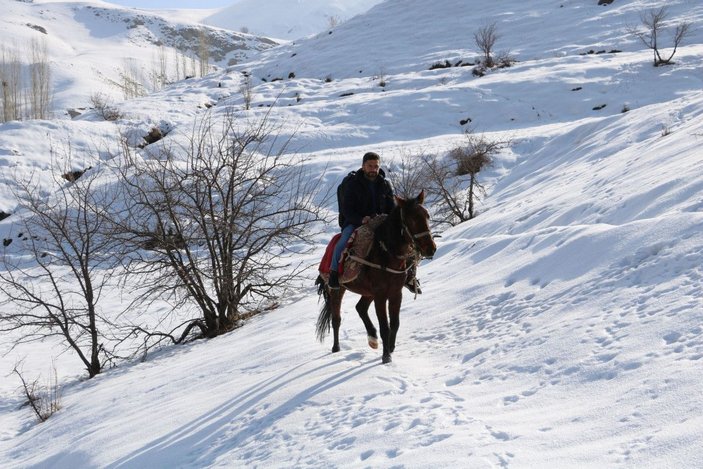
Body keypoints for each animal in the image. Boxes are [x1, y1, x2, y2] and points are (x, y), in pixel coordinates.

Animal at [316, 189, 438, 362]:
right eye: (412, 218)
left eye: (426, 215)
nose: (430, 248)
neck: (386, 253)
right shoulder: (380, 295)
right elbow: (384, 326)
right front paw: (386, 357)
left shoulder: (395, 293)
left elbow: (395, 323)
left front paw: (391, 349)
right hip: (337, 290)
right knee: (336, 319)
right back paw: (336, 348)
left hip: (368, 292)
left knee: (360, 308)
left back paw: (372, 338)